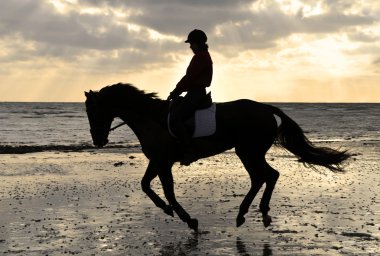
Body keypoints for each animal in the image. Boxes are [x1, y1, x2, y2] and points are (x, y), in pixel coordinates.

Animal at [84, 83, 350, 231]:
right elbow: (145, 185)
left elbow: (168, 191)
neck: (152, 119)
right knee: (265, 177)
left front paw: (188, 219)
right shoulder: (157, 161)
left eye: (93, 111)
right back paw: (251, 212)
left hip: (248, 151)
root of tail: (266, 108)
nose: (98, 141)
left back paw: (252, 211)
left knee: (266, 176)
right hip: (249, 152)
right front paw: (167, 210)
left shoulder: (164, 162)